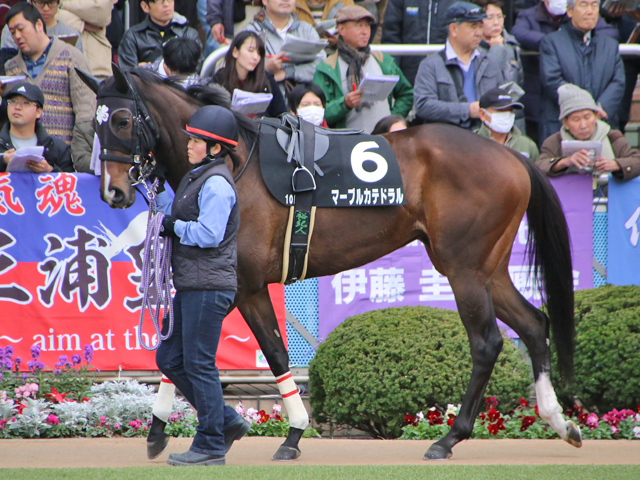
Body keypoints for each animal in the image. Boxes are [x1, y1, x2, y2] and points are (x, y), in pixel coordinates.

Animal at [81, 65, 582, 461]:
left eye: (122, 119)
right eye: (96, 125)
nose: (113, 192)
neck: (236, 164)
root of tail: (510, 155)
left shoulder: (245, 285)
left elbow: (272, 352)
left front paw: (292, 435)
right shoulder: (214, 286)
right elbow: (178, 356)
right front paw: (160, 431)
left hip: (463, 269)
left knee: (487, 343)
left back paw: (449, 438)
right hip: (488, 268)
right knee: (534, 324)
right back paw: (560, 422)